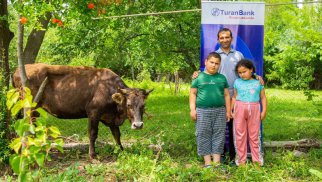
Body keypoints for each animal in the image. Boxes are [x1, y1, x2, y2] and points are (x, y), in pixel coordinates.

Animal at [13, 63, 153, 159]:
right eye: (129, 105)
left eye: (143, 105)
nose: (138, 125)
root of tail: (21, 69)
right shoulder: (93, 113)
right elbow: (92, 134)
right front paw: (92, 155)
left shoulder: (111, 118)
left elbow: (117, 135)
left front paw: (121, 150)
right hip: (30, 107)